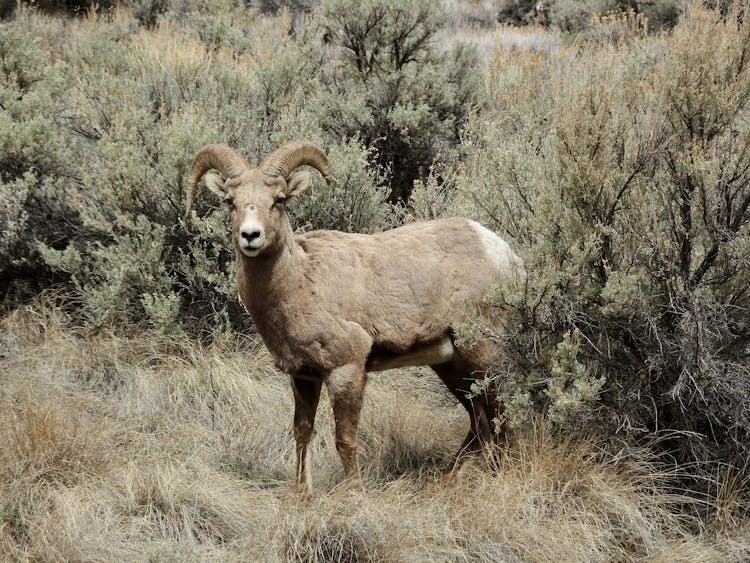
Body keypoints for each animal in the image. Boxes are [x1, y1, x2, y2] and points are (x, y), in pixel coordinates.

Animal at [186, 142, 524, 494]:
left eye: (279, 199)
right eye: (230, 201)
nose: (250, 236)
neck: (299, 283)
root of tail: (504, 254)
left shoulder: (346, 370)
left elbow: (344, 440)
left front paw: (355, 495)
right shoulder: (303, 376)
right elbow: (302, 433)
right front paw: (300, 496)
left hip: (483, 354)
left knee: (499, 417)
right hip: (450, 365)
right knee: (479, 422)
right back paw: (441, 483)